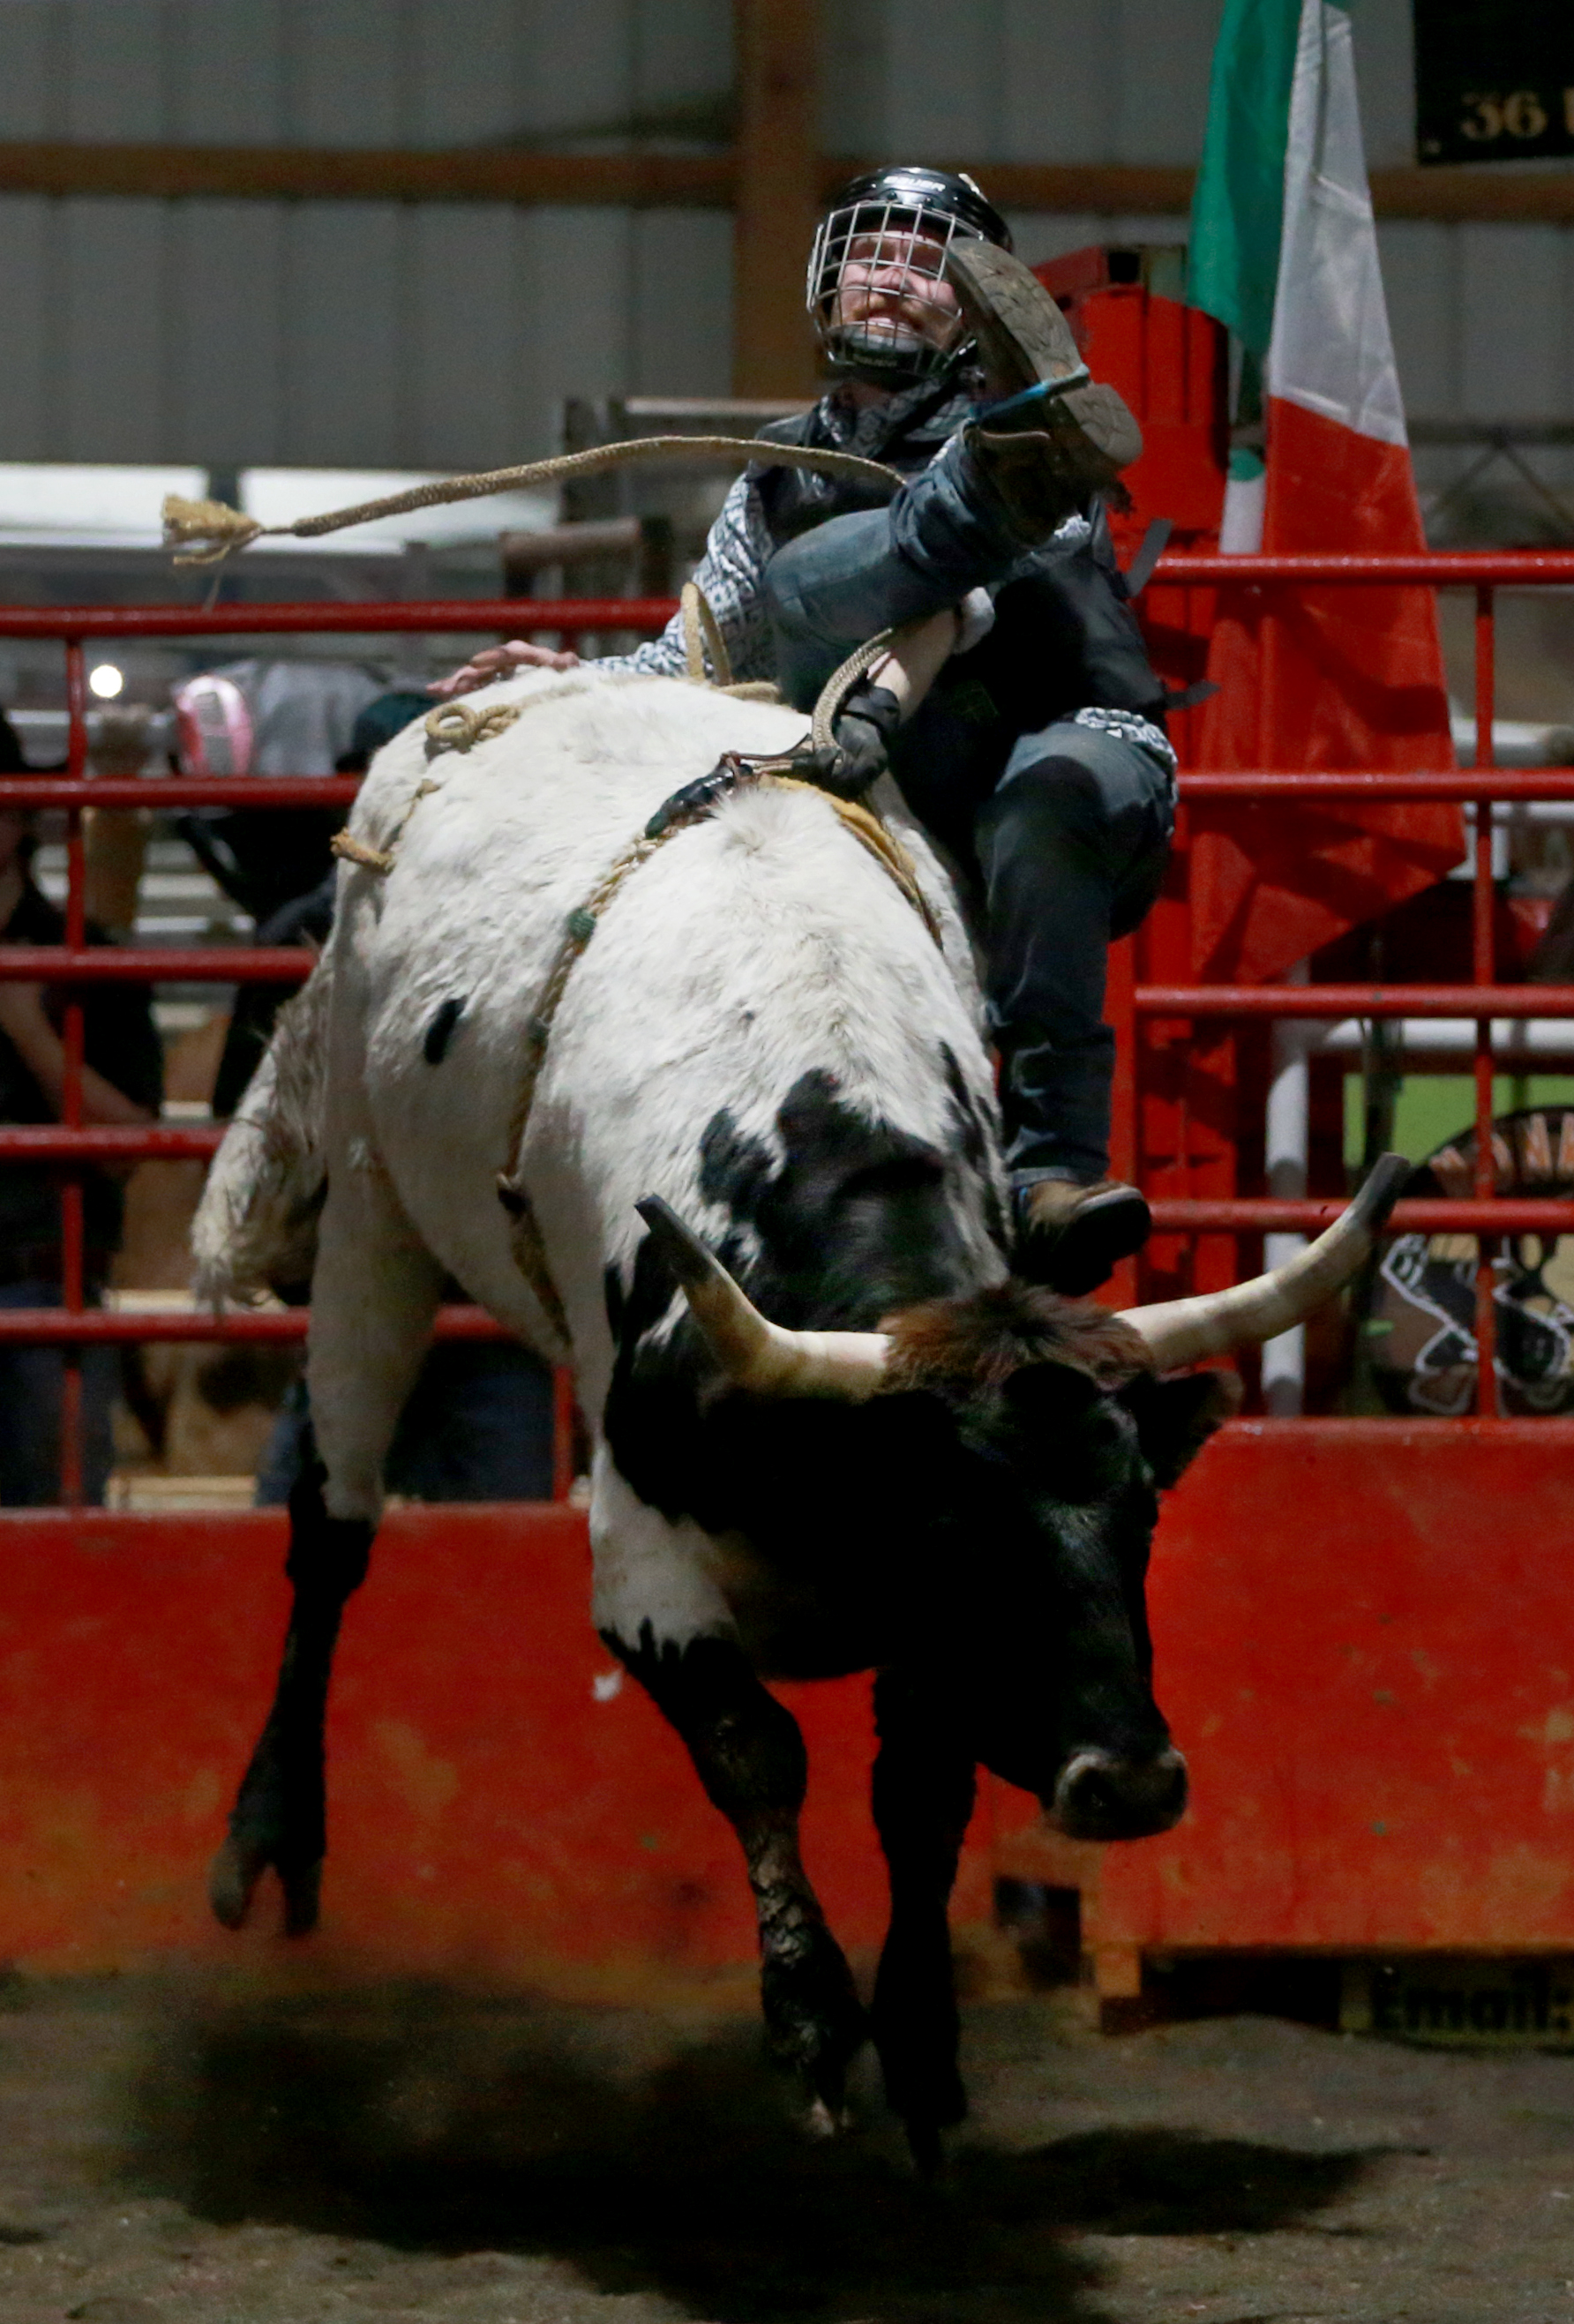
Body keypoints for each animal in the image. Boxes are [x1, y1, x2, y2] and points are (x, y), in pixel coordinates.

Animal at [193, 665, 1403, 2166]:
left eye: (1142, 1518)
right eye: (958, 1522)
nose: (1129, 1782)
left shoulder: (929, 1641)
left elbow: (921, 1796)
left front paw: (925, 2048)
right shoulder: (644, 1570)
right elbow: (758, 1751)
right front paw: (817, 2021)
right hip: (372, 1209)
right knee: (332, 1529)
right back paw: (271, 1836)